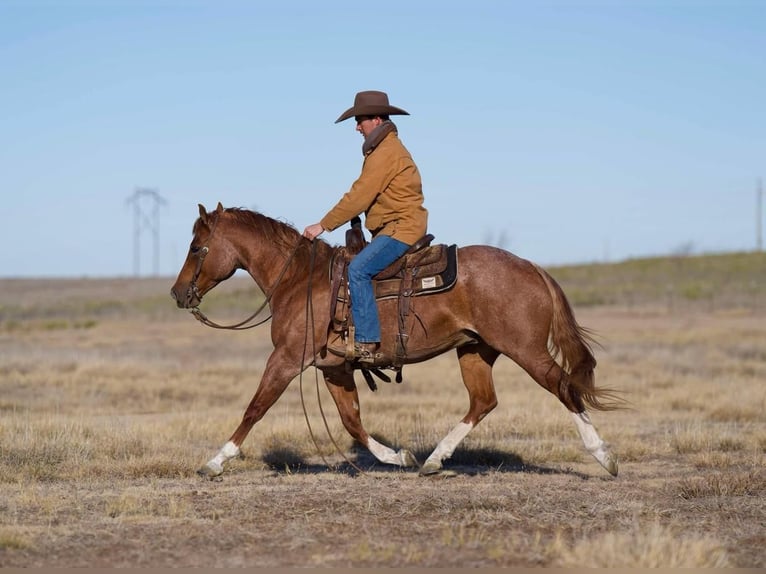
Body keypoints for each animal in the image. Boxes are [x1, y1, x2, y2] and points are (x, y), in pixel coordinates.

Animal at [171, 205, 620, 480]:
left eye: (195, 247)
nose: (178, 293)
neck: (300, 281)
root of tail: (532, 267)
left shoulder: (284, 360)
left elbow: (255, 408)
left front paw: (215, 462)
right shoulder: (334, 368)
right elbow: (352, 422)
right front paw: (397, 456)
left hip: (526, 350)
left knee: (564, 387)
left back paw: (604, 455)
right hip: (475, 349)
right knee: (483, 402)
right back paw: (433, 461)